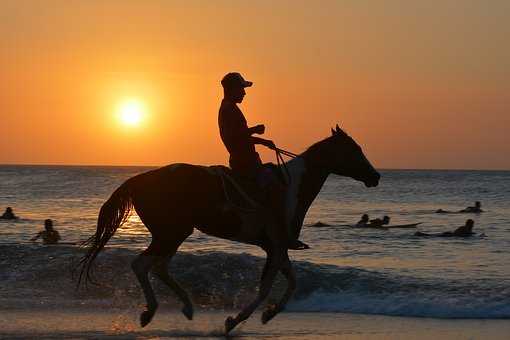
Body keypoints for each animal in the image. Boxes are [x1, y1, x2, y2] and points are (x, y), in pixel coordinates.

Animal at [75, 123, 378, 334]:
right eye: (355, 150)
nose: (375, 177)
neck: (291, 187)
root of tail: (139, 179)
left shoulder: (277, 247)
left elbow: (292, 282)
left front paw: (269, 314)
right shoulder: (276, 247)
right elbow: (265, 288)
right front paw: (234, 320)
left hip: (175, 233)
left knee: (158, 267)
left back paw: (186, 308)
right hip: (170, 233)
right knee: (142, 264)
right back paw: (150, 312)